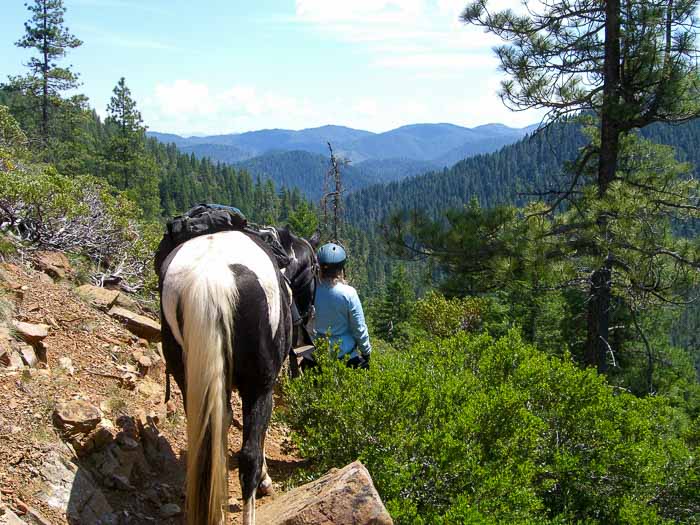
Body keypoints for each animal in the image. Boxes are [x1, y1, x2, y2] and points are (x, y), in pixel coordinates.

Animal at [157, 226, 318, 524]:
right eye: (315, 269)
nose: (308, 315)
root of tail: (210, 278)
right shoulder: (263, 388)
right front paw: (266, 481)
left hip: (188, 378)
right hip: (258, 386)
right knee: (248, 458)